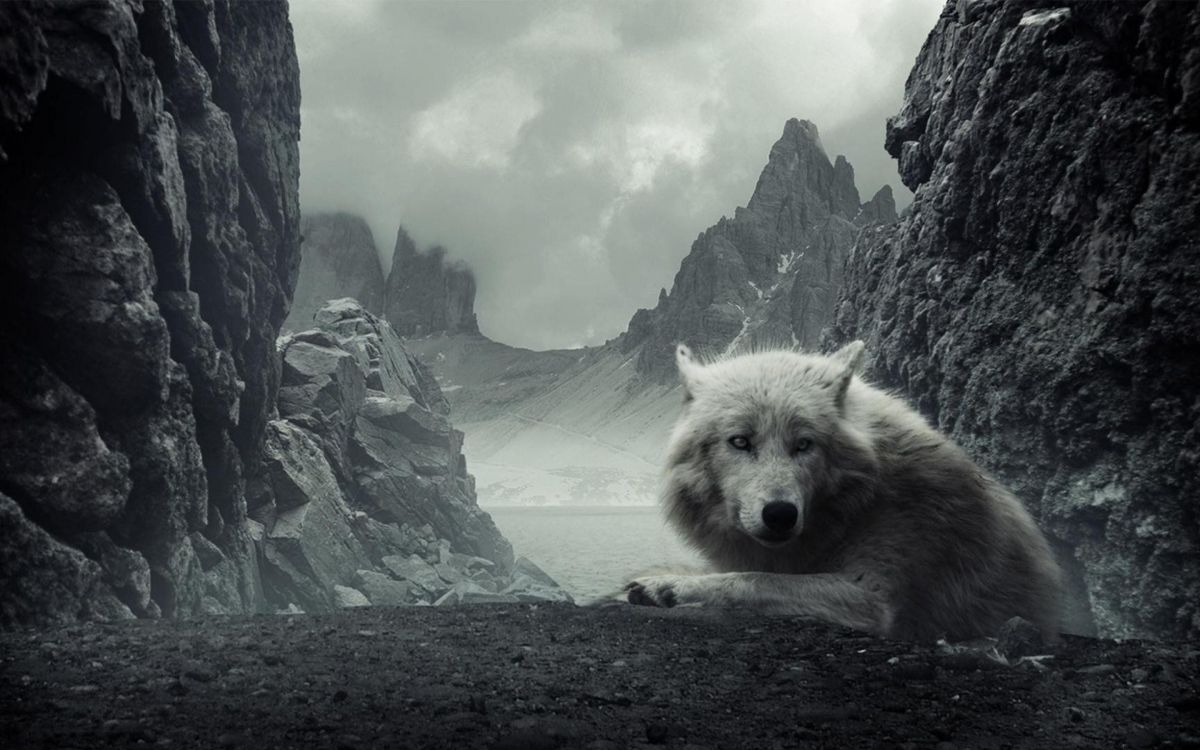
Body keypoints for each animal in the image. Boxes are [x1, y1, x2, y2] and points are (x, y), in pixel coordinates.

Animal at [624, 341, 1063, 642]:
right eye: (740, 442)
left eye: (804, 444)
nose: (780, 514)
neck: (857, 505)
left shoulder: (873, 597)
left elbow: (752, 580)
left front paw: (668, 586)